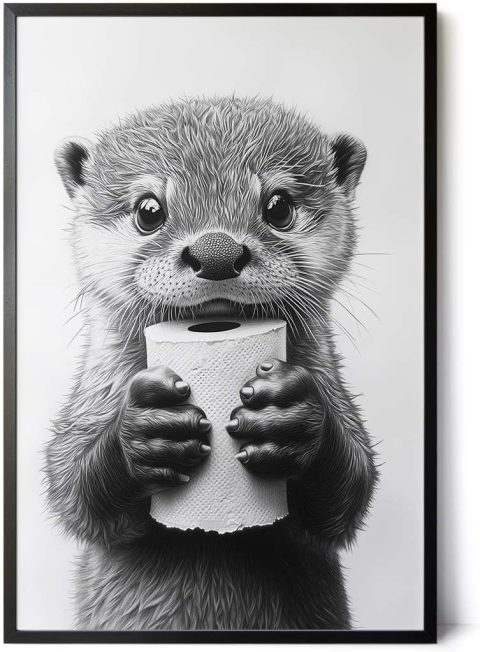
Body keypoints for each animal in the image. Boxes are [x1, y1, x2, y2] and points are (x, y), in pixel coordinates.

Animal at [46, 96, 378, 630]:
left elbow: (350, 493)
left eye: (279, 206)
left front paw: (292, 420)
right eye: (149, 211)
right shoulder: (88, 406)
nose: (216, 251)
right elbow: (72, 490)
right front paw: (146, 433)